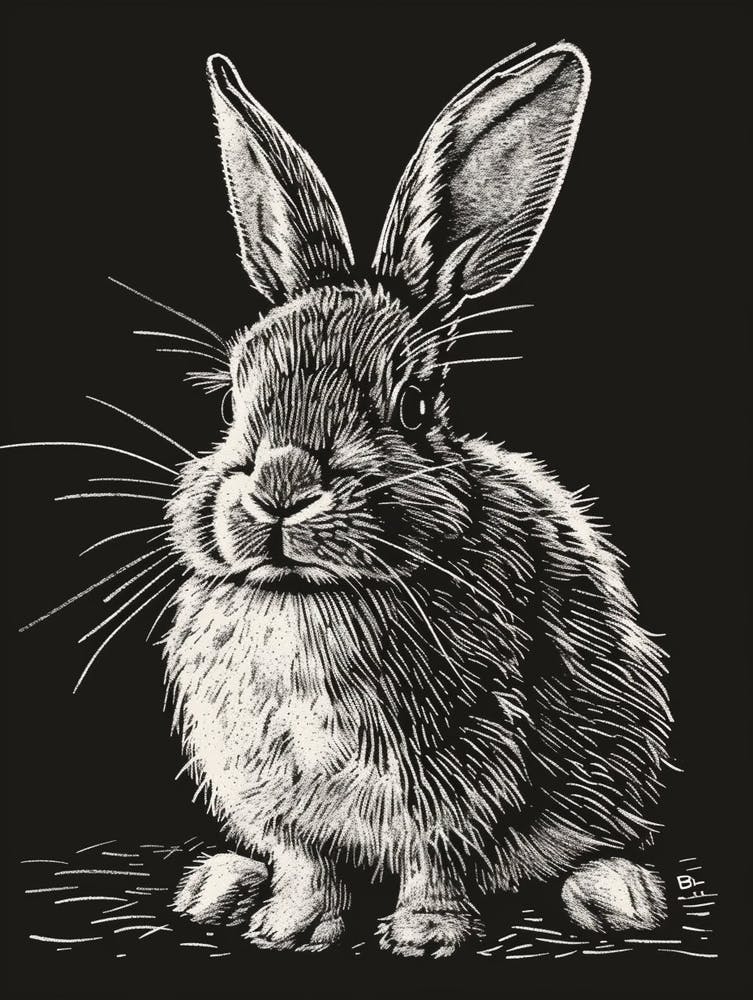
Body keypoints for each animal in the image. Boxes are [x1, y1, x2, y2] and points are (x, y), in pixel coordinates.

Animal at [168, 43, 672, 956]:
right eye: (232, 395)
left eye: (412, 404)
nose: (281, 489)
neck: (310, 597)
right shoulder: (274, 792)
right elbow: (306, 863)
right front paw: (287, 929)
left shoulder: (459, 770)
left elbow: (435, 857)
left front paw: (428, 936)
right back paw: (218, 886)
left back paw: (617, 894)